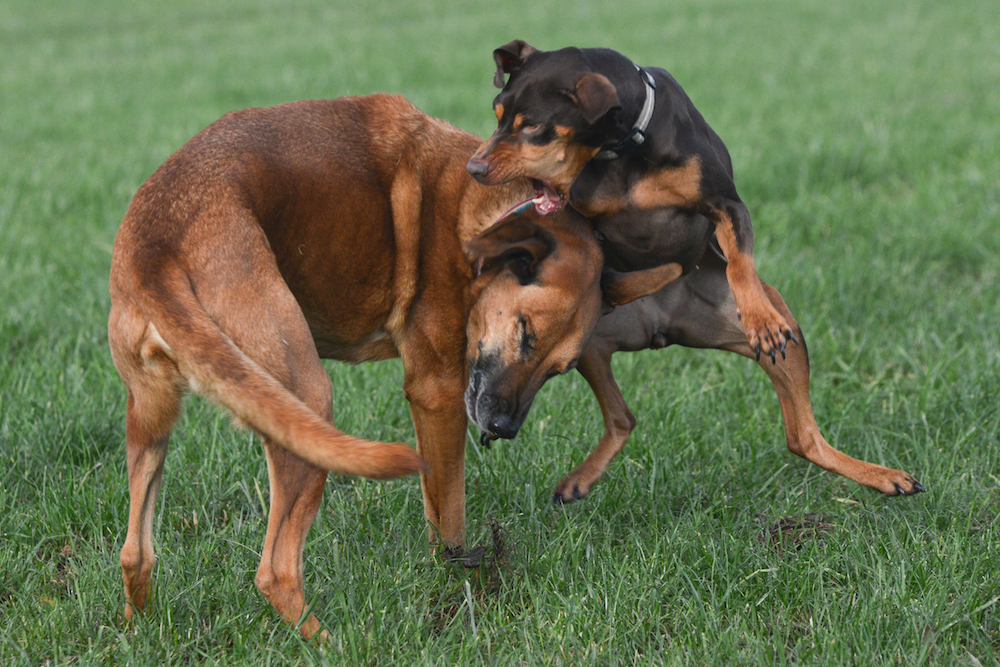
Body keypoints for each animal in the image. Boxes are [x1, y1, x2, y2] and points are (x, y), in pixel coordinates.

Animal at [107, 92, 680, 636]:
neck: (488, 214)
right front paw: (456, 581)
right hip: (304, 405)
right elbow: (449, 516)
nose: (502, 427)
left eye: (559, 369)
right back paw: (331, 644)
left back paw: (140, 630)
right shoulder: (439, 395)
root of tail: (158, 242)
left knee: (135, 553)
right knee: (276, 572)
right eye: (525, 331)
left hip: (153, 419)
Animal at [464, 41, 924, 500]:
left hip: (787, 339)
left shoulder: (725, 204)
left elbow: (739, 261)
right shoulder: (575, 215)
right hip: (588, 344)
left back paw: (884, 476)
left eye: (533, 126)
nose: (475, 168)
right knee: (623, 418)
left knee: (803, 437)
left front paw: (759, 317)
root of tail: (660, 326)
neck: (626, 150)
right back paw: (577, 478)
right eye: (497, 113)